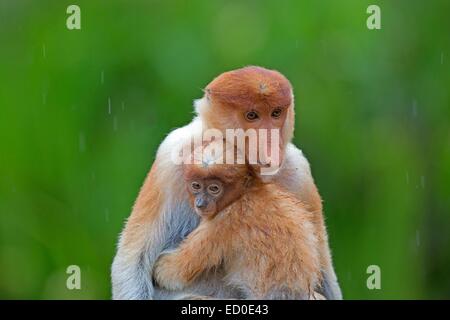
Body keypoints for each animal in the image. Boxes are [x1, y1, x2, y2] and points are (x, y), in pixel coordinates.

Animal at [110, 65, 342, 300]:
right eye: (252, 115)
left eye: (276, 113)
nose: (270, 145)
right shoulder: (169, 158)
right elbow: (133, 263)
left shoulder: (300, 172)